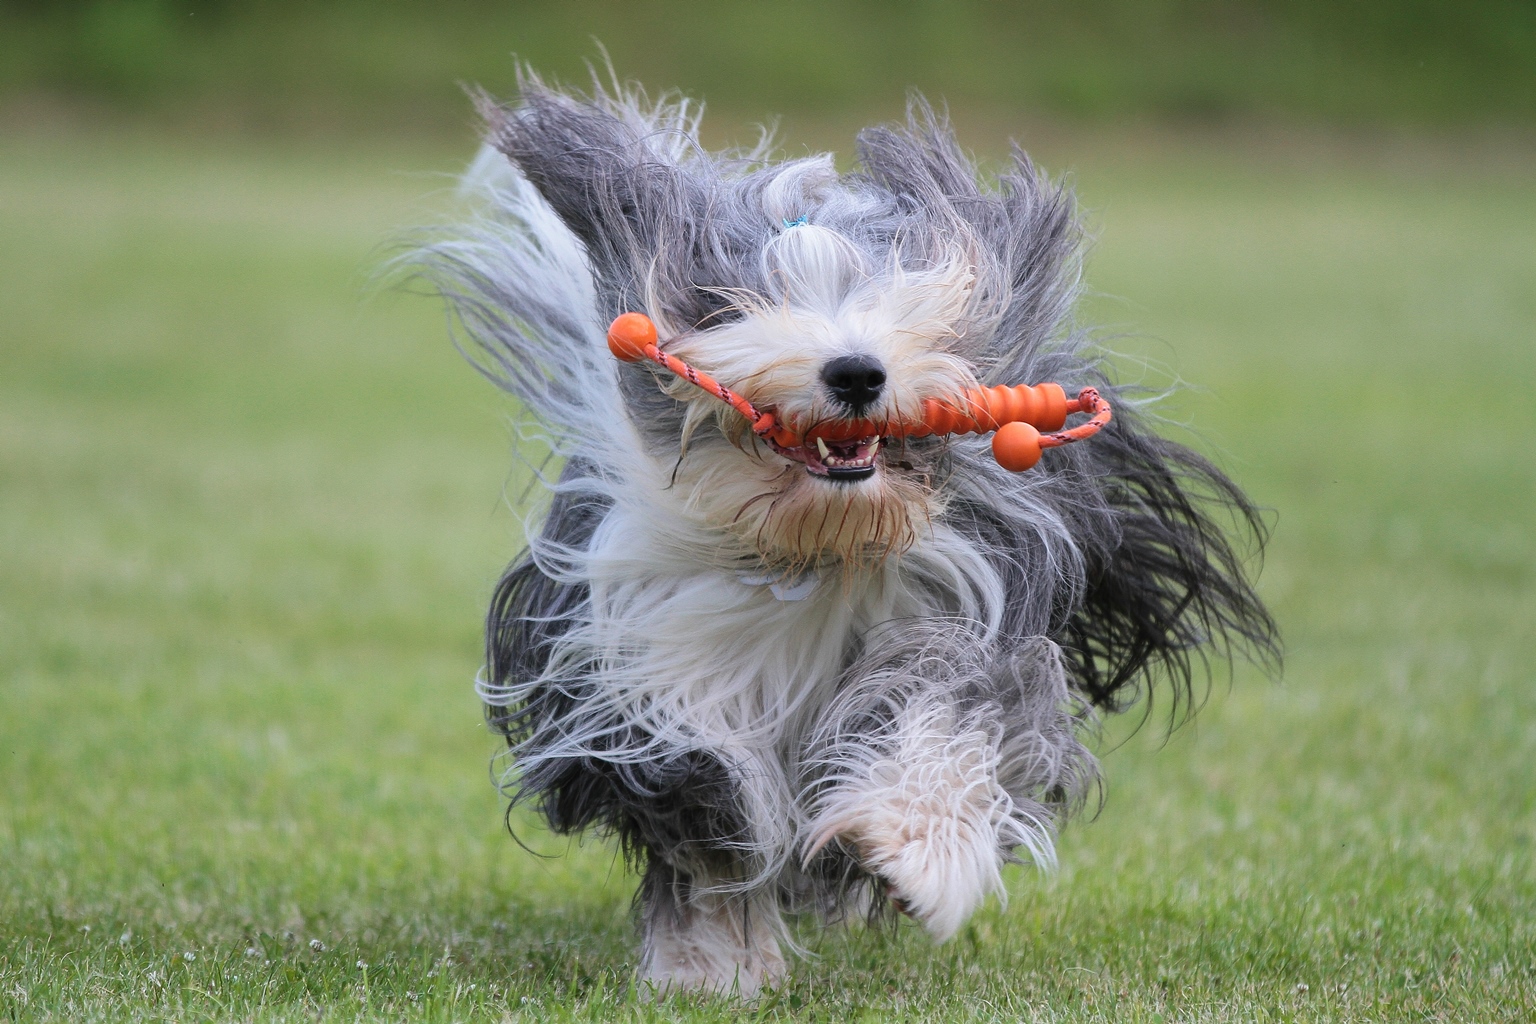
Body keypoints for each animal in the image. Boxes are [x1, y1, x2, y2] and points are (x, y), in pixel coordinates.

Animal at [414, 74, 1277, 1000]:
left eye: (903, 295)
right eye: (740, 303)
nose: (856, 371)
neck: (815, 548)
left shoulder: (981, 613)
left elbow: (948, 720)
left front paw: (912, 855)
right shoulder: (641, 667)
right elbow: (708, 810)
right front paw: (709, 966)